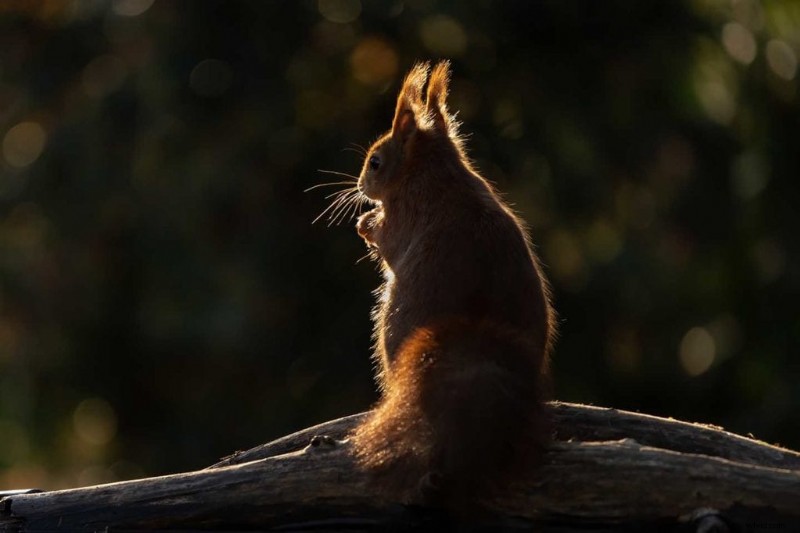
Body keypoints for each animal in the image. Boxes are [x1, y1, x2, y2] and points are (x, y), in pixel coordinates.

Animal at [350, 61, 556, 510]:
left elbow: (388, 241)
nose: (359, 187)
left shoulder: (405, 215)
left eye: (375, 162)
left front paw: (366, 224)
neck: (435, 170)